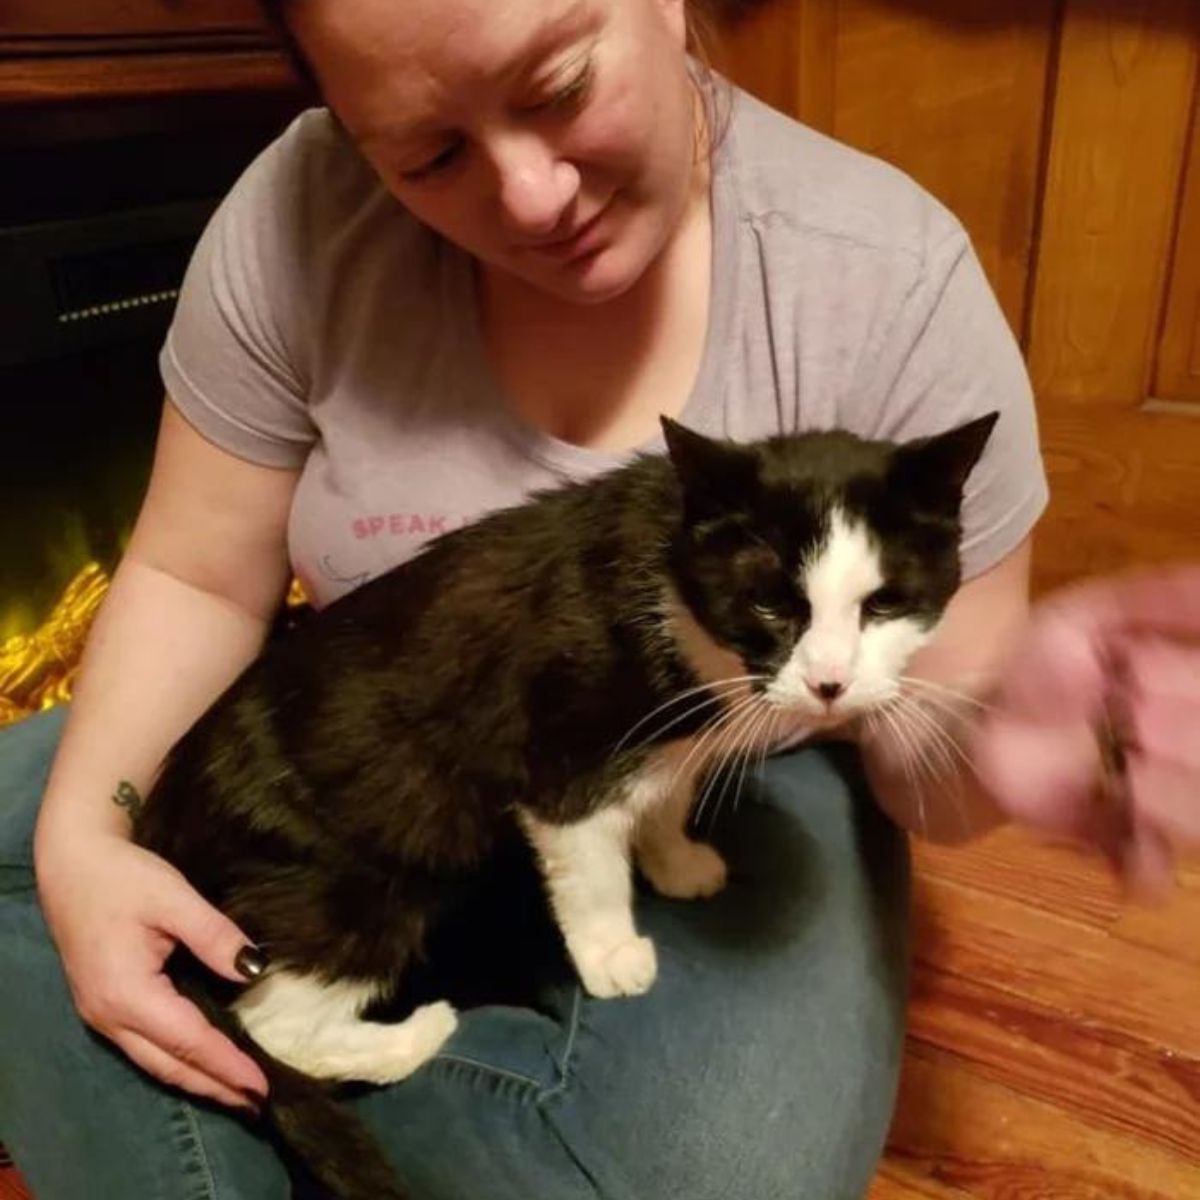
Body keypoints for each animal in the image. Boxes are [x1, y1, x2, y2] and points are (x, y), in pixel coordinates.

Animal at [131, 410, 998, 1190]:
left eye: (883, 606)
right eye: (769, 606)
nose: (829, 683)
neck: (672, 578)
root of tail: (162, 824)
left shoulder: (672, 739)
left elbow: (667, 793)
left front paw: (678, 861)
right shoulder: (556, 759)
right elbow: (589, 866)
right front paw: (612, 953)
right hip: (355, 882)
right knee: (266, 1030)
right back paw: (413, 1035)